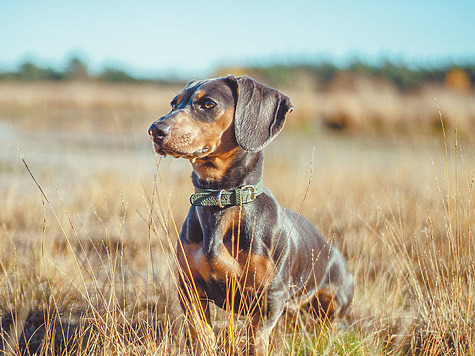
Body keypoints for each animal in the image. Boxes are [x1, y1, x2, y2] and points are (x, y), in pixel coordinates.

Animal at [149, 74, 354, 354]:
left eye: (208, 103)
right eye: (174, 103)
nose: (155, 130)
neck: (222, 200)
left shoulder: (270, 298)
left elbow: (254, 340)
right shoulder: (189, 289)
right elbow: (203, 335)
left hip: (333, 300)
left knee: (331, 324)